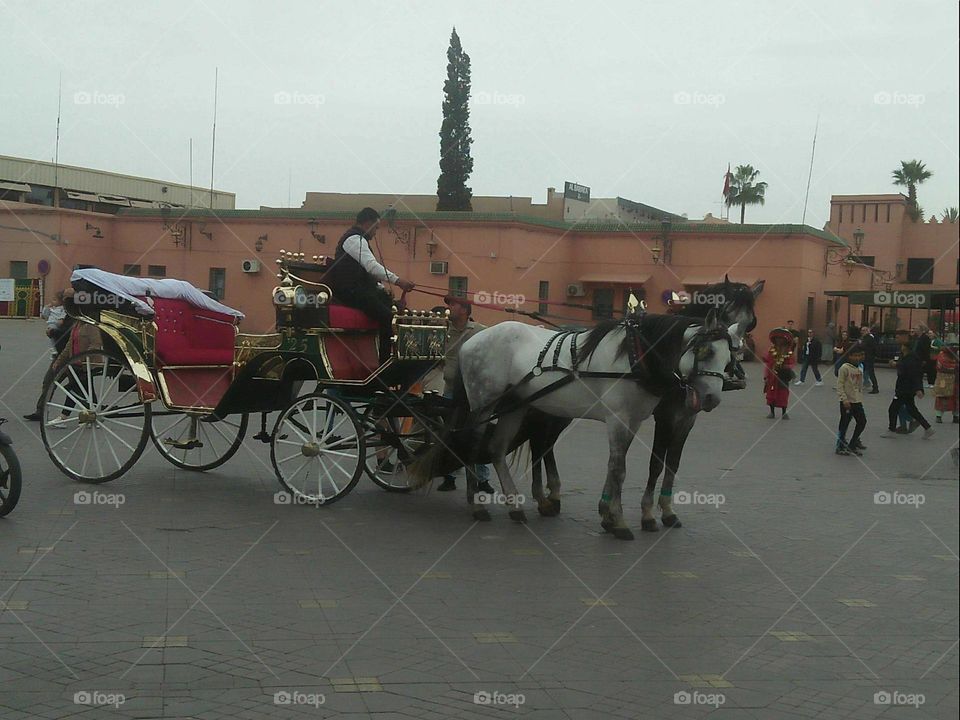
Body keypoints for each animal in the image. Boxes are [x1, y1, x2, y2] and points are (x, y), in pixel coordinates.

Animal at [446, 310, 740, 540]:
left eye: (729, 358)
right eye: (707, 351)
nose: (712, 398)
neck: (634, 356)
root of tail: (473, 340)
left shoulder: (633, 421)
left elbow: (615, 466)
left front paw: (608, 516)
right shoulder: (620, 419)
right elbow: (620, 469)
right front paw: (619, 522)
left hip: (515, 406)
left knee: (497, 449)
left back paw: (514, 506)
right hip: (483, 405)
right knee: (473, 445)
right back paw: (477, 505)